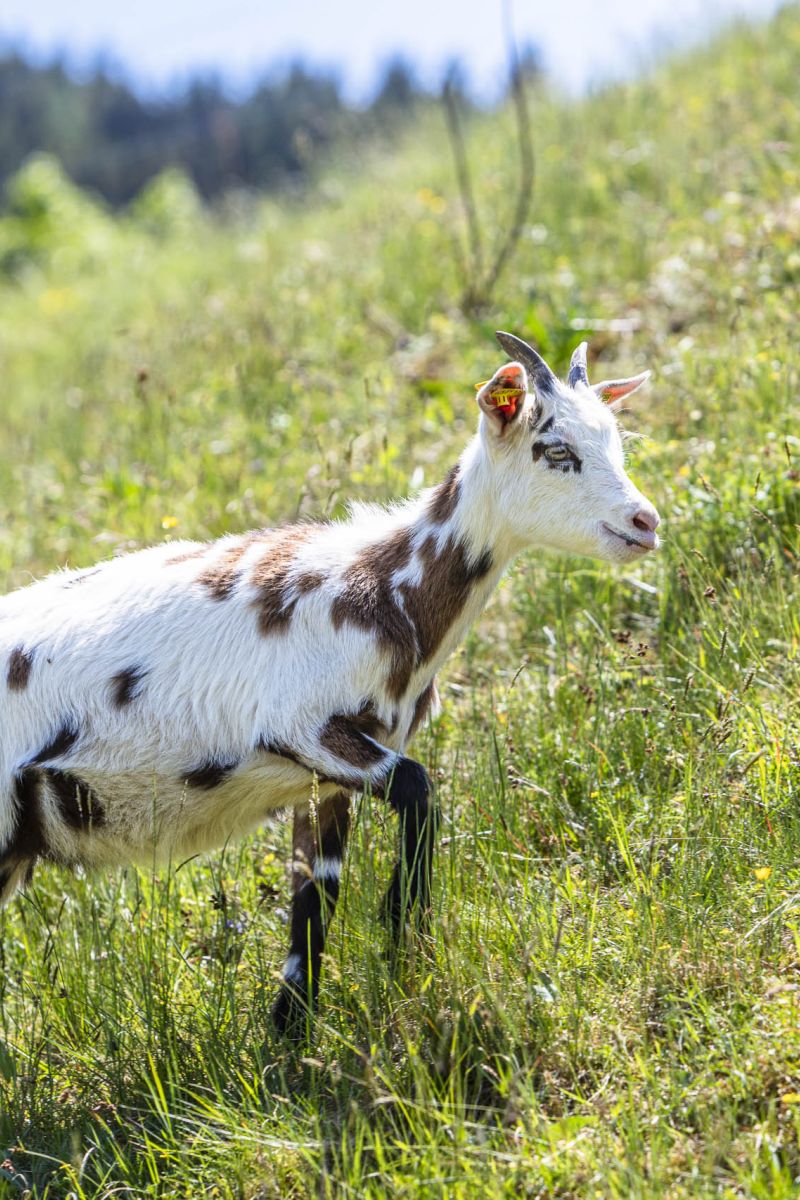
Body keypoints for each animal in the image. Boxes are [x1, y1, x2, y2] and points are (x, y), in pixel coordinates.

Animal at [0, 332, 659, 1033]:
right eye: (555, 449)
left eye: (616, 441)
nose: (644, 522)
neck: (380, 589)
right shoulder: (302, 727)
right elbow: (418, 788)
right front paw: (402, 929)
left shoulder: (322, 782)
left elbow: (316, 895)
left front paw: (292, 1028)